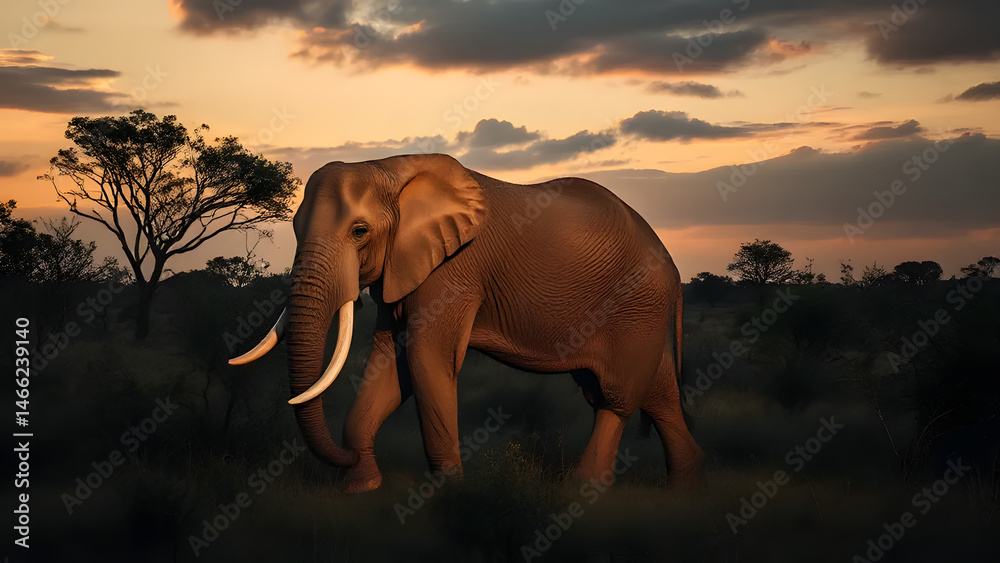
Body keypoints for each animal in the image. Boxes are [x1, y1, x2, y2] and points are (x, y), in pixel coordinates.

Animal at [229, 153, 704, 493]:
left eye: (359, 232)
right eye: (294, 228)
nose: (346, 457)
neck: (390, 168)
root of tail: (673, 267)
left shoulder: (454, 269)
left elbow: (426, 358)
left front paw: (448, 491)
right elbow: (392, 361)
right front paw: (361, 487)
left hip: (636, 305)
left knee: (616, 398)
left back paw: (582, 489)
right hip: (641, 312)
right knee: (658, 394)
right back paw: (684, 487)